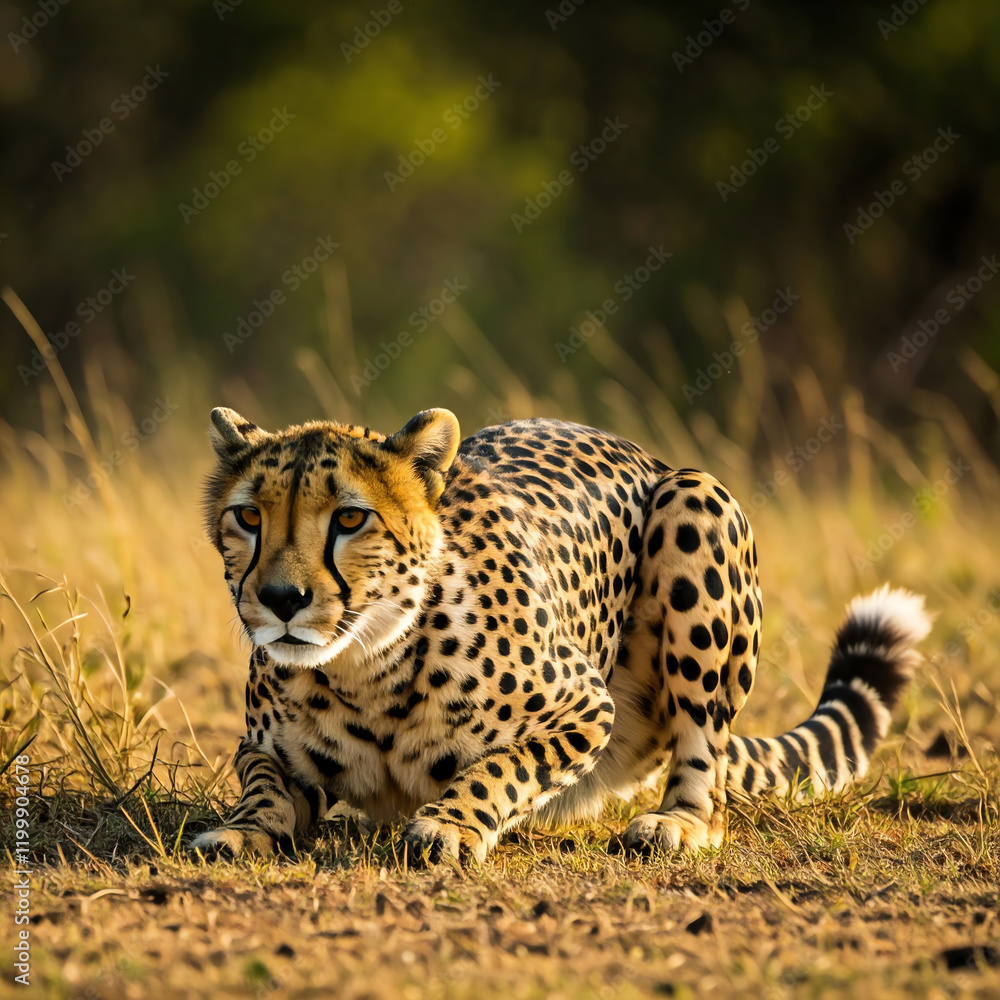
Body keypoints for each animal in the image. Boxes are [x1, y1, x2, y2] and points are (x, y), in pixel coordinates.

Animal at [190, 406, 931, 864]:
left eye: (349, 518)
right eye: (249, 517)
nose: (282, 601)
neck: (364, 667)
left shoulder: (587, 708)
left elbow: (504, 765)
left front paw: (450, 824)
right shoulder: (261, 747)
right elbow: (264, 783)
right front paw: (241, 831)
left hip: (695, 501)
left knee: (708, 770)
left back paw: (678, 822)